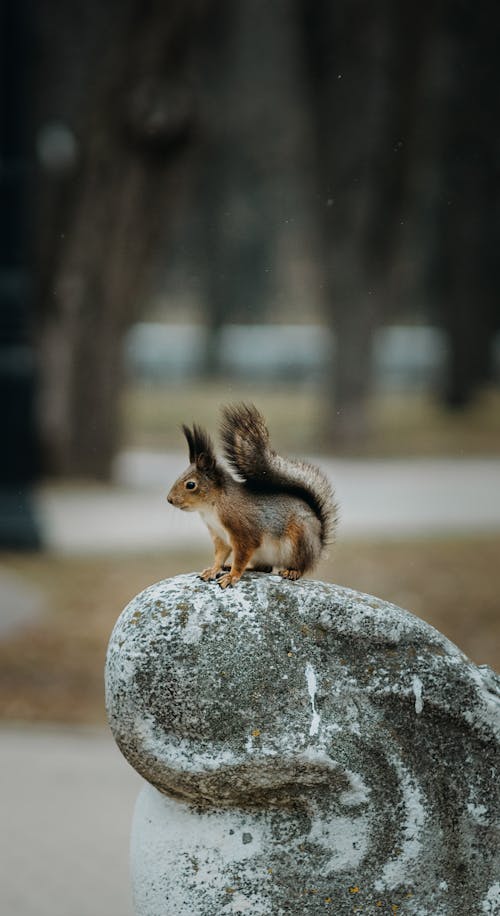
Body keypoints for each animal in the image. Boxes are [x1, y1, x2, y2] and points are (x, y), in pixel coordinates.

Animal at [166, 404, 338, 592]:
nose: (169, 499)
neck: (213, 507)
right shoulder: (220, 537)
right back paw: (242, 567)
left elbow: (241, 557)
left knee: (301, 566)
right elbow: (220, 556)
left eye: (190, 485)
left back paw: (292, 571)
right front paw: (213, 569)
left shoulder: (244, 533)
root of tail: (318, 546)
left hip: (299, 542)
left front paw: (232, 576)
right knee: (265, 568)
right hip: (263, 555)